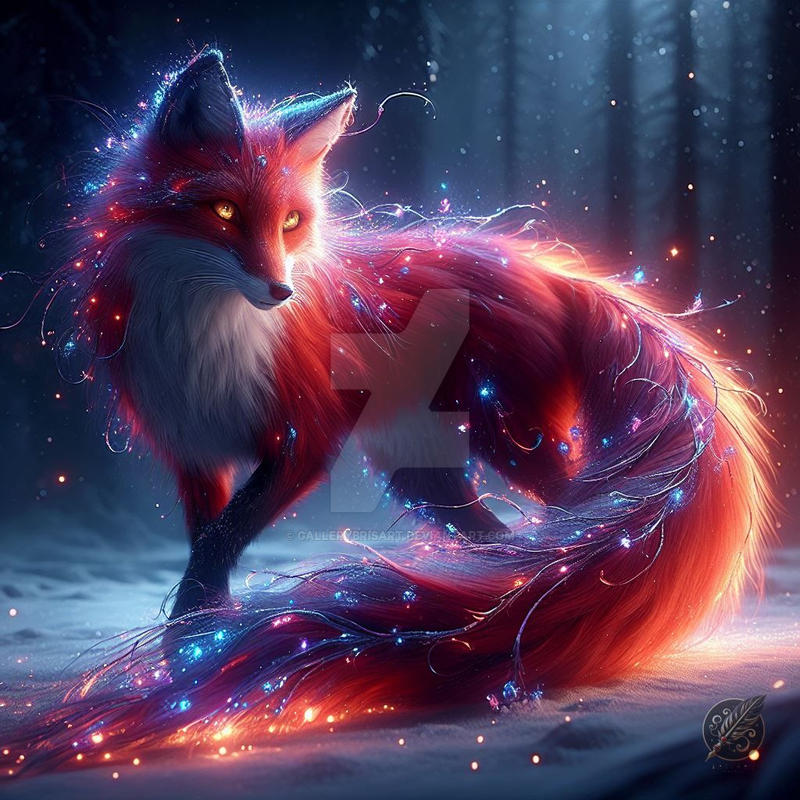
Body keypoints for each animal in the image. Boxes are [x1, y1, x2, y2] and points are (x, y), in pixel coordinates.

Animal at [2, 50, 776, 773]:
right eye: (223, 212)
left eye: (291, 222)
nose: (282, 292)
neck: (205, 332)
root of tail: (550, 272)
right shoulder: (194, 455)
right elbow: (206, 544)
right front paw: (194, 646)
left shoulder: (306, 438)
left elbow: (221, 543)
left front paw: (194, 648)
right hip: (424, 478)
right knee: (498, 542)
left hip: (516, 444)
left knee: (584, 518)